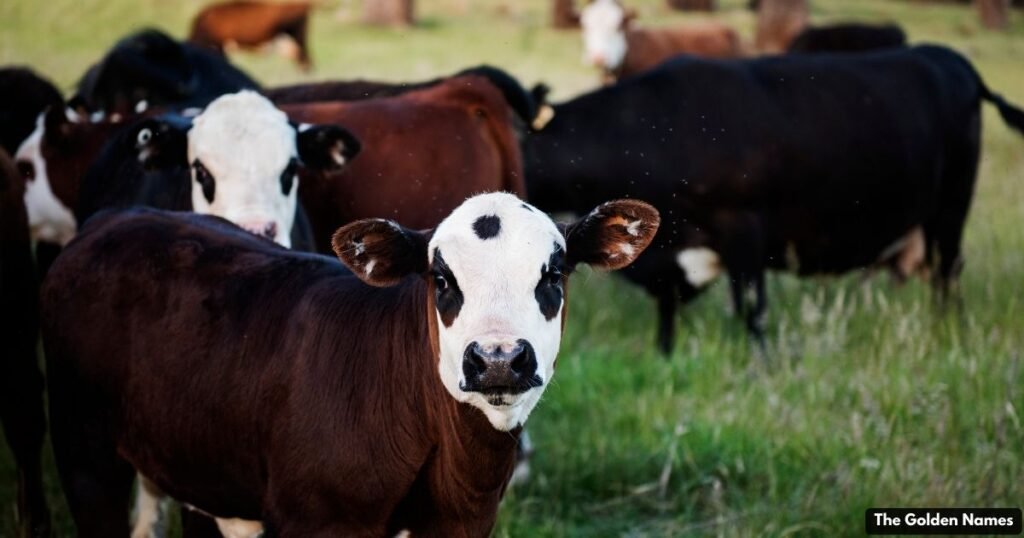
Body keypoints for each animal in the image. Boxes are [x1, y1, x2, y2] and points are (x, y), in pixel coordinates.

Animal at [41, 192, 660, 537]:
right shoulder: (318, 520)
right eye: (441, 279)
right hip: (84, 453)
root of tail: (112, 219)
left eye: (552, 274)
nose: (498, 359)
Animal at [524, 45, 1024, 354]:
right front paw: (664, 356)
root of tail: (948, 58)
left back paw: (946, 331)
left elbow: (752, 310)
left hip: (950, 210)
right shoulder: (668, 257)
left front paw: (758, 368)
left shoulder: (744, 229)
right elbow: (667, 310)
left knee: (947, 275)